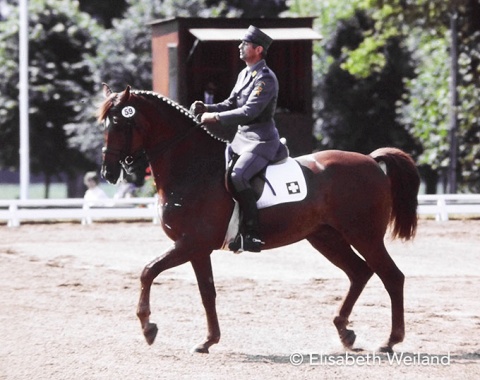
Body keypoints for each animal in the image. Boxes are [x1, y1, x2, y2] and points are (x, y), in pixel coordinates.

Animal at [95, 84, 418, 354]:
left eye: (119, 123)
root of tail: (372, 162)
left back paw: (390, 341)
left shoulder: (189, 244)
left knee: (392, 276)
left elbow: (148, 271)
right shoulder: (197, 249)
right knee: (359, 273)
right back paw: (345, 332)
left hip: (364, 235)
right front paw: (208, 341)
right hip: (325, 237)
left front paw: (148, 327)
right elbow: (207, 292)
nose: (108, 172)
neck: (193, 168)